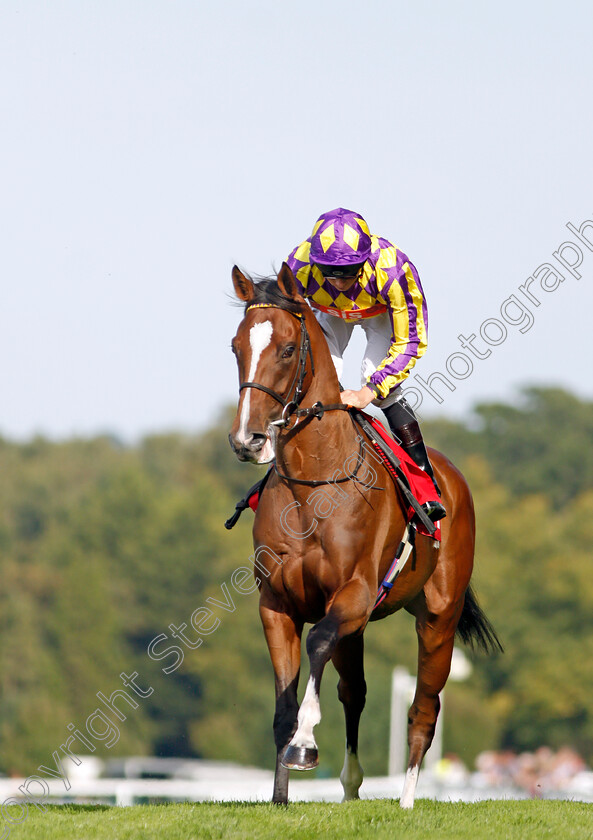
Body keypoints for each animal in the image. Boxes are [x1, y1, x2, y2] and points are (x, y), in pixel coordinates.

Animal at [227, 260, 500, 808]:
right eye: (235, 346)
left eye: (286, 349)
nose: (248, 440)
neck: (314, 488)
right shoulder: (277, 603)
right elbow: (285, 700)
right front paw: (280, 797)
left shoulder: (352, 593)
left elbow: (316, 645)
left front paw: (306, 743)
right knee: (354, 692)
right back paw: (352, 789)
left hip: (438, 618)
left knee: (423, 709)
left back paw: (408, 799)